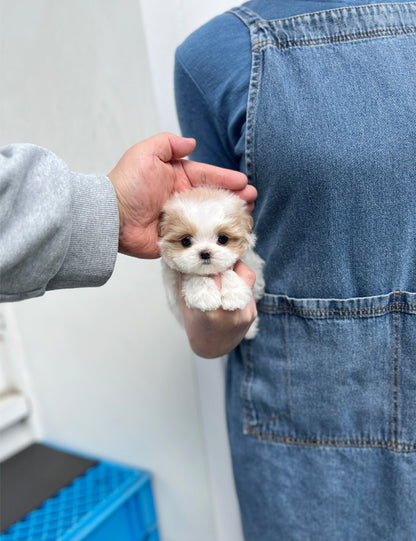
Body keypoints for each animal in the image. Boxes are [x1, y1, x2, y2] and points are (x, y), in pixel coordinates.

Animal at [158, 186, 264, 338]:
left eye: (223, 238)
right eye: (186, 241)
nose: (205, 253)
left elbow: (228, 271)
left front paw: (234, 295)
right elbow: (193, 275)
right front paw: (205, 294)